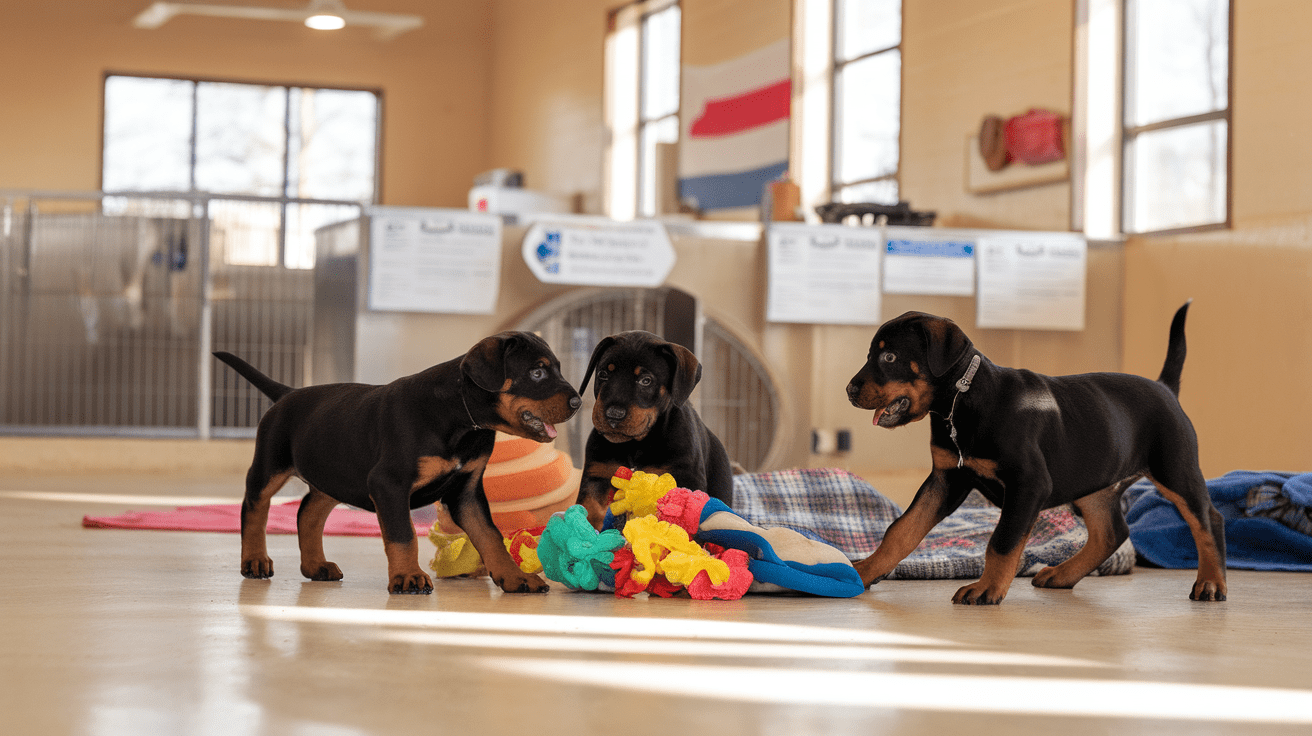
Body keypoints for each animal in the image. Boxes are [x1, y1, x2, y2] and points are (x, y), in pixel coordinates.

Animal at [215, 330, 579, 592]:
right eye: (536, 372)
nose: (577, 402)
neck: (461, 415)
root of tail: (287, 393)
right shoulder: (389, 483)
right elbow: (403, 534)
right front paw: (408, 577)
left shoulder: (467, 493)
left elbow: (490, 536)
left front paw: (515, 577)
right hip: (270, 466)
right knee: (254, 506)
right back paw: (255, 560)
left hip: (336, 476)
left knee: (308, 511)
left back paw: (316, 566)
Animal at [577, 330, 734, 524]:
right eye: (603, 374)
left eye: (646, 380)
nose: (613, 414)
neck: (634, 446)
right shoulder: (597, 474)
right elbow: (590, 506)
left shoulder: (685, 476)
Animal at [844, 303, 1222, 603]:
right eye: (869, 356)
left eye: (889, 357)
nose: (849, 389)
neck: (963, 401)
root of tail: (1164, 387)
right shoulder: (946, 479)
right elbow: (901, 530)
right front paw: (864, 571)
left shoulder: (1028, 484)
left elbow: (1002, 541)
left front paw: (986, 589)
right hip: (1094, 483)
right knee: (1112, 531)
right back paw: (1062, 574)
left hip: (1175, 469)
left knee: (1208, 519)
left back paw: (1211, 584)